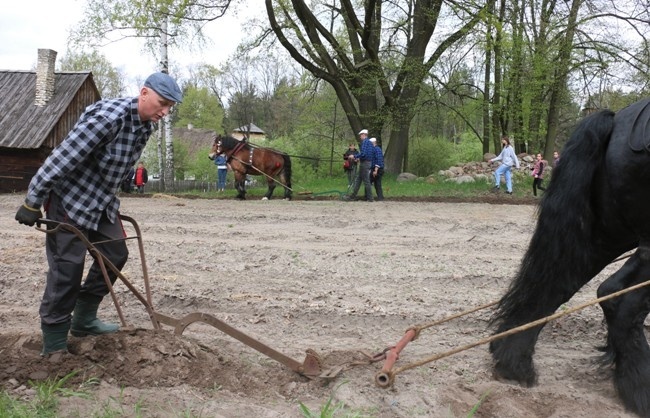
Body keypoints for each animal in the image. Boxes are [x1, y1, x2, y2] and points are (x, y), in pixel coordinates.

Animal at [488, 97, 648, 414]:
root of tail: (618, 119)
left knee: (564, 283)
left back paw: (513, 360)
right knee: (621, 299)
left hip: (606, 232)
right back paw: (640, 389)